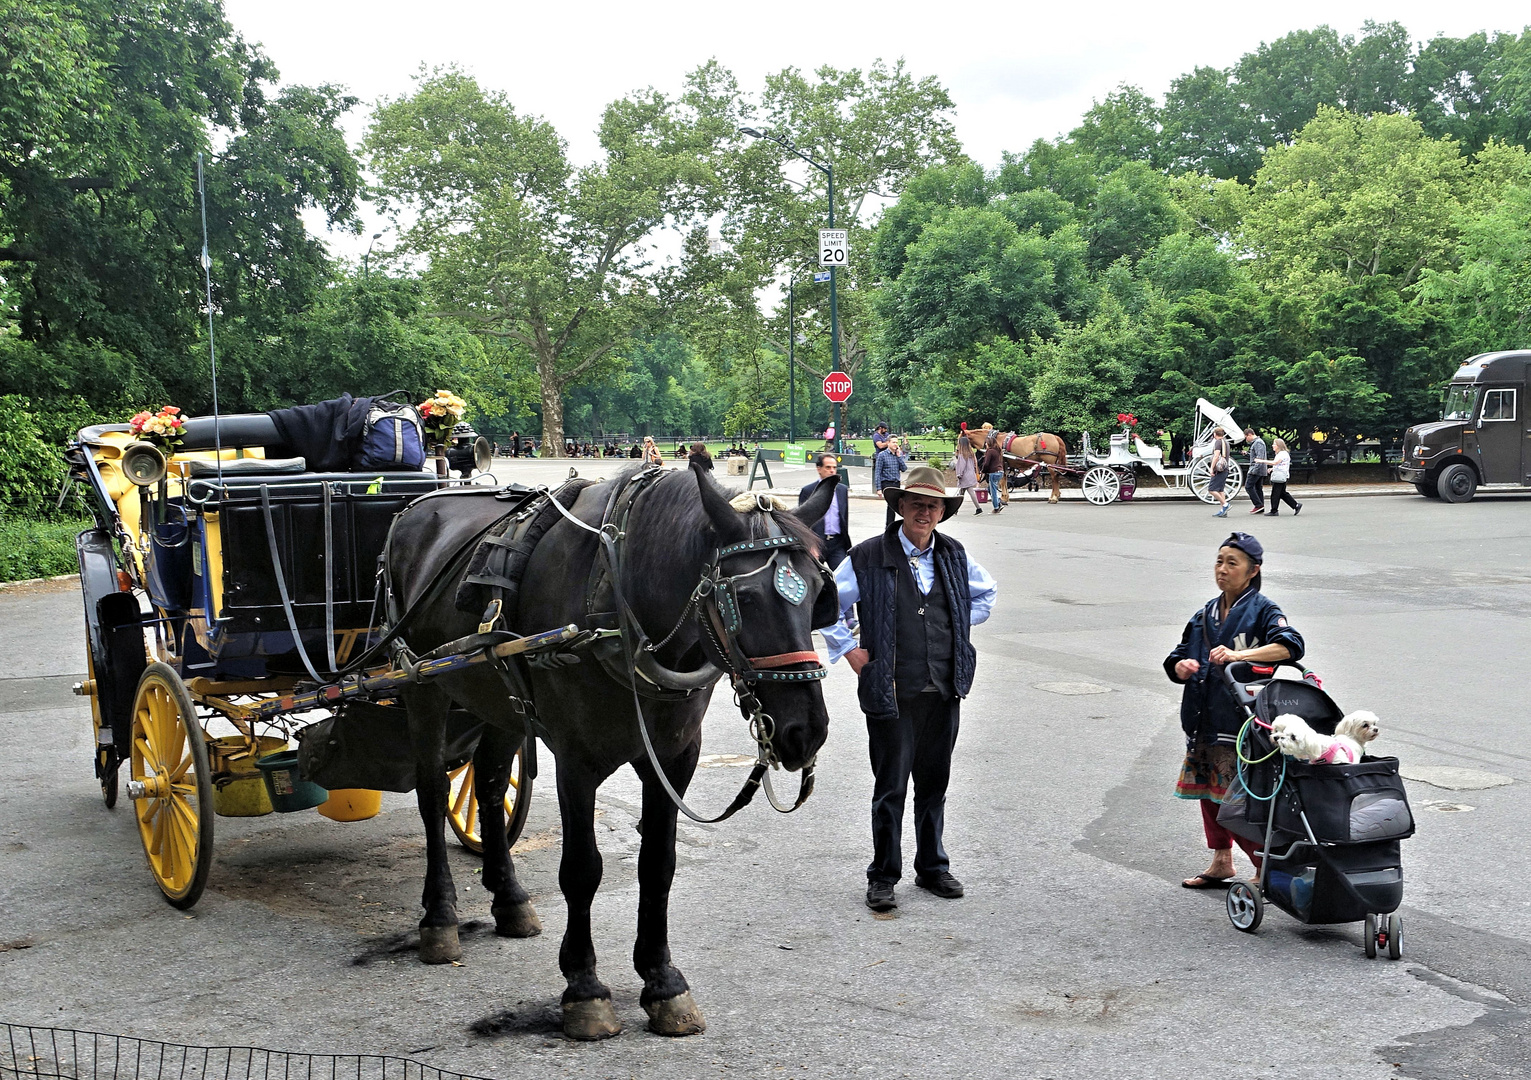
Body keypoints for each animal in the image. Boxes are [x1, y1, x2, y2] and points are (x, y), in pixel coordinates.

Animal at [382, 462, 838, 1035]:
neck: (621, 602)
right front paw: (584, 988)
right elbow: (582, 869)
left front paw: (662, 980)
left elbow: (658, 864)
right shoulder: (576, 759)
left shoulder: (675, 756)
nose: (806, 731)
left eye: (819, 591)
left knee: (486, 784)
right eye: (746, 599)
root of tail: (418, 506)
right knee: (430, 794)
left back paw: (509, 900)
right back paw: (439, 917)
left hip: (500, 698)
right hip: (423, 688)